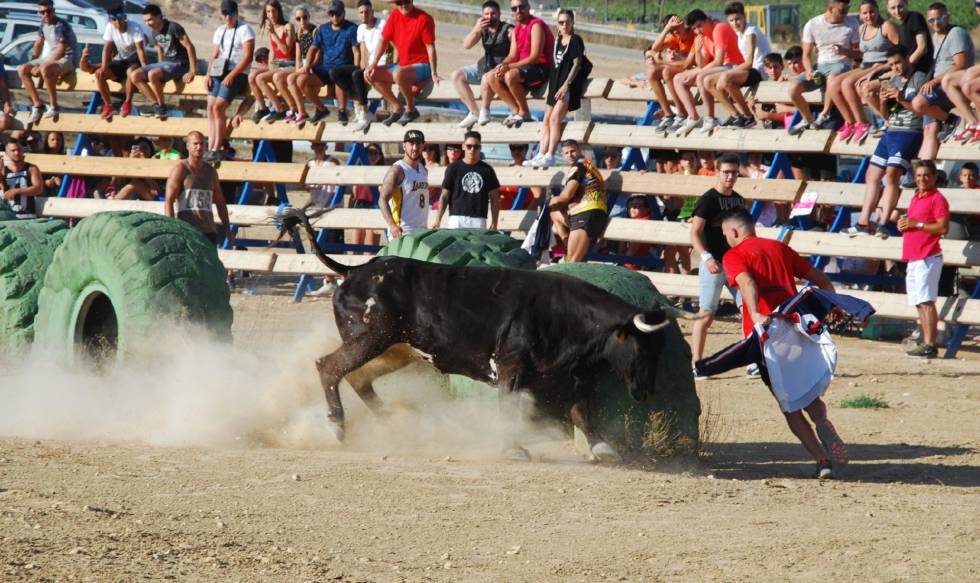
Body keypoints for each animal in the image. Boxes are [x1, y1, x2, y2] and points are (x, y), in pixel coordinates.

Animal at [284, 210, 676, 460]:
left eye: (660, 350)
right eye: (641, 349)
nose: (646, 392)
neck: (565, 316)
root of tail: (355, 270)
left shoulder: (574, 377)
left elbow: (582, 412)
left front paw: (601, 447)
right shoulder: (510, 369)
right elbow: (510, 409)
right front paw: (513, 448)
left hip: (395, 348)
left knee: (358, 377)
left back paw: (396, 419)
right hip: (370, 339)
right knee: (329, 366)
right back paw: (338, 425)